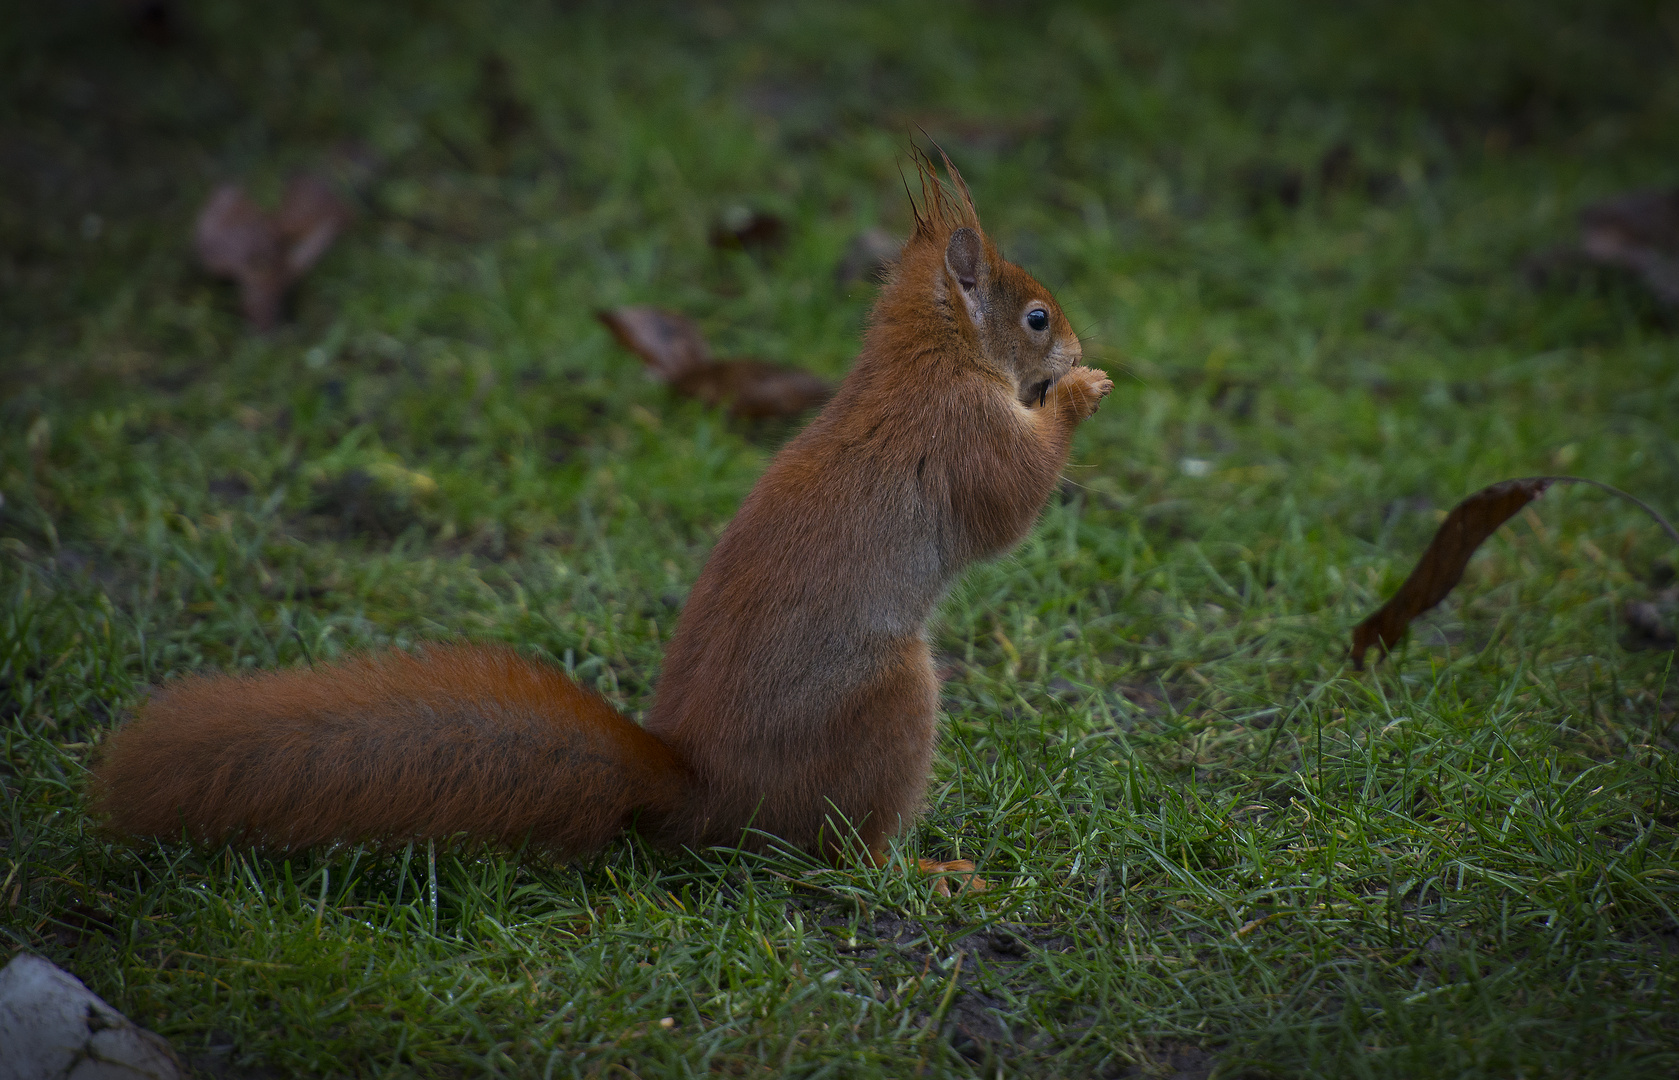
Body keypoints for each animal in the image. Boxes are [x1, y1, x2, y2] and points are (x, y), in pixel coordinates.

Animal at [91, 158, 1114, 886]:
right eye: (1035, 316)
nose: (1074, 348)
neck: (925, 361)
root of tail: (705, 798)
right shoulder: (961, 436)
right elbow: (1010, 501)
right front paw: (1080, 395)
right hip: (891, 701)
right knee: (838, 852)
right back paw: (931, 871)